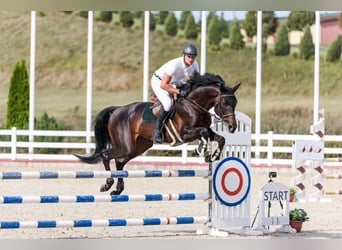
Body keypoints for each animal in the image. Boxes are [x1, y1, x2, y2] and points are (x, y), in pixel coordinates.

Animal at [75, 72, 240, 195]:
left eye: (235, 103)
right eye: (225, 103)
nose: (233, 127)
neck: (194, 105)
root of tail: (117, 110)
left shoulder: (205, 131)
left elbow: (220, 138)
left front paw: (212, 156)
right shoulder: (183, 134)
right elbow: (203, 132)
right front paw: (200, 149)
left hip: (139, 146)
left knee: (120, 161)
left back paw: (117, 189)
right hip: (125, 145)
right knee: (106, 155)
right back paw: (108, 184)